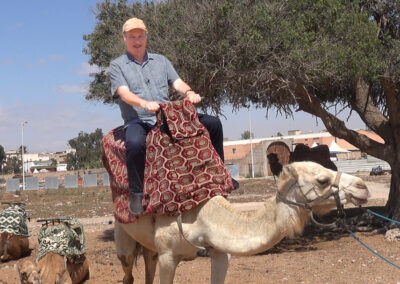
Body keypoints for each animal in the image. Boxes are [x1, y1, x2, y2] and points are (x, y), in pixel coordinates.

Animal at [114, 162, 370, 284]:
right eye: (323, 180)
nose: (363, 187)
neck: (199, 219)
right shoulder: (168, 255)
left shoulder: (220, 252)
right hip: (124, 237)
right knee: (128, 269)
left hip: (149, 247)